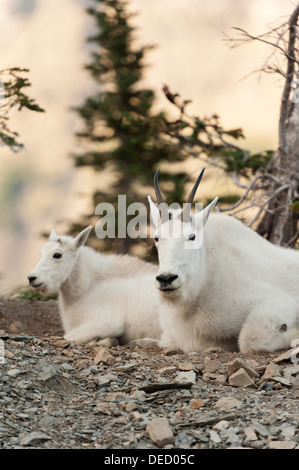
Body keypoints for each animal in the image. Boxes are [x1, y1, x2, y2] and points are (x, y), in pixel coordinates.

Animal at [28, 226, 162, 344]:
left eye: (57, 255)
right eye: (41, 254)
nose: (32, 278)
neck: (86, 290)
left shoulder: (108, 322)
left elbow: (67, 337)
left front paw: (106, 341)